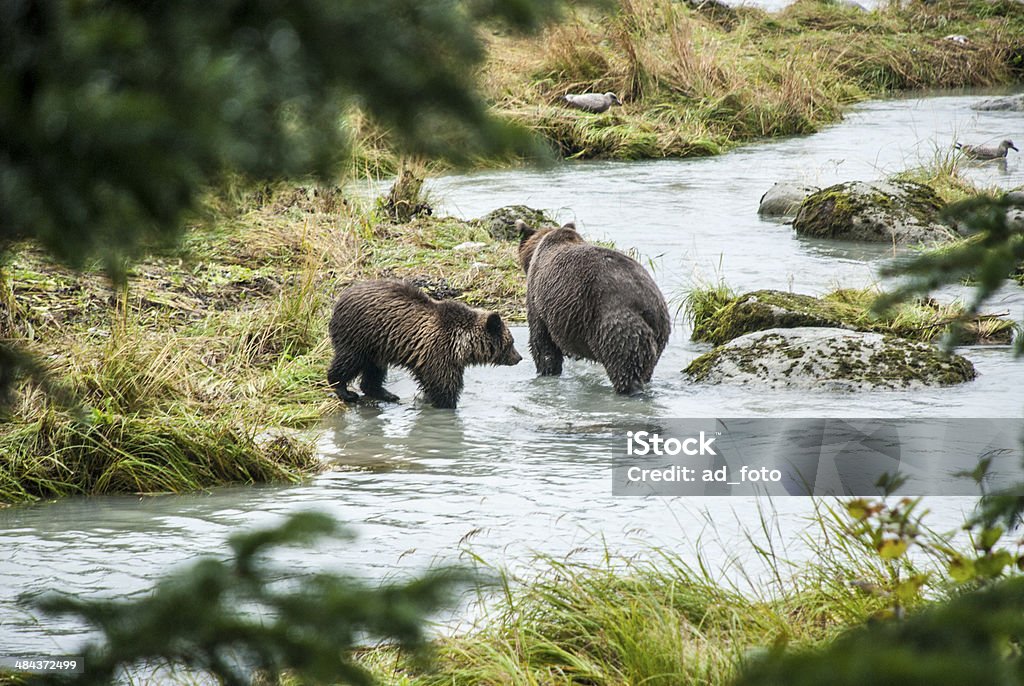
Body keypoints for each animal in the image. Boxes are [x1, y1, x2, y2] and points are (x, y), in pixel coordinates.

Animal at [325, 278, 520, 409]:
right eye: (511, 342)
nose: (519, 357)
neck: (463, 345)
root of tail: (341, 298)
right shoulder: (440, 352)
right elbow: (444, 385)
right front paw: (447, 405)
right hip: (360, 335)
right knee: (349, 361)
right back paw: (345, 391)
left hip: (377, 345)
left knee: (375, 370)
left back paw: (387, 394)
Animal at [512, 219, 671, 393]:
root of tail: (648, 307)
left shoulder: (538, 302)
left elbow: (542, 344)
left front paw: (546, 371)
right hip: (659, 333)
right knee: (647, 369)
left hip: (615, 324)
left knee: (624, 368)